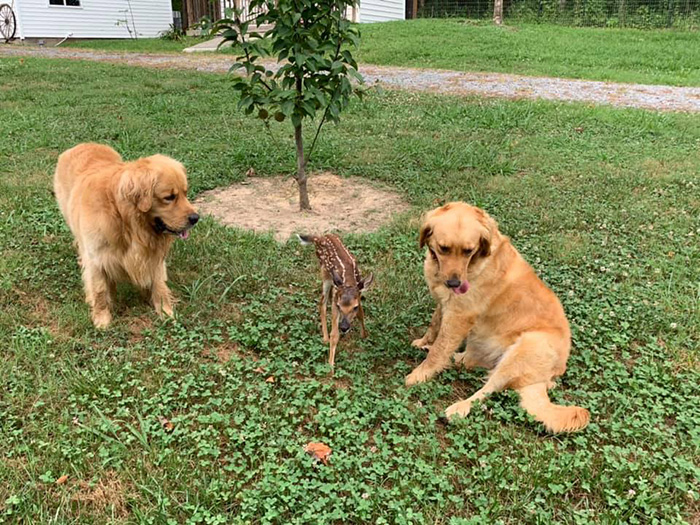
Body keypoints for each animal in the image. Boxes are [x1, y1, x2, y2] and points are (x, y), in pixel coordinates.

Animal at [52, 141, 197, 326]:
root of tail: (83, 144)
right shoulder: (96, 259)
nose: (195, 218)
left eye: (185, 193)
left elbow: (159, 284)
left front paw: (166, 312)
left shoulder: (153, 256)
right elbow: (99, 291)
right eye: (169, 197)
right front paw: (102, 319)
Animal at [408, 203, 588, 432]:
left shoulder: (459, 315)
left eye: (468, 251)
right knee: (469, 362)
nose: (455, 284)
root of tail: (546, 378)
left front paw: (420, 374)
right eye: (444, 248)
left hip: (525, 348)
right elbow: (434, 326)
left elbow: (439, 350)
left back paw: (459, 407)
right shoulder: (444, 304)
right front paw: (424, 342)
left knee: (488, 388)